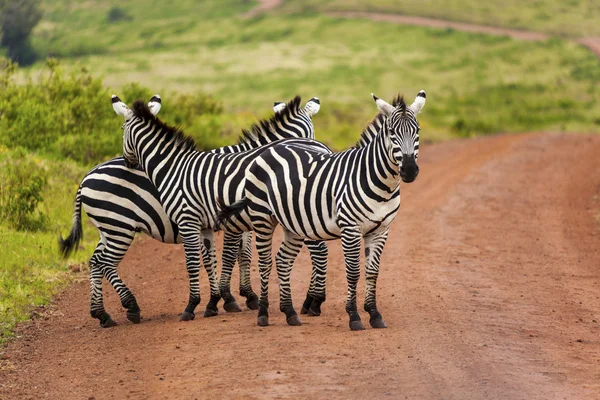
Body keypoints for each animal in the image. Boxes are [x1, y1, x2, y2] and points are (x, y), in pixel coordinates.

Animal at [59, 95, 328, 326]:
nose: (318, 160)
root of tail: (85, 178)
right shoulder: (231, 220)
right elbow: (230, 255)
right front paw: (230, 298)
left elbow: (239, 255)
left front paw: (237, 296)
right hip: (118, 226)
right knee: (104, 262)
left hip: (109, 228)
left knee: (96, 262)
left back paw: (102, 314)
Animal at [216, 90, 426, 332]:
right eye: (392, 133)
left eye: (417, 131)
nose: (409, 171)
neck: (379, 182)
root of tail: (274, 146)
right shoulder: (350, 228)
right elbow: (353, 272)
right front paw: (354, 316)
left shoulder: (381, 230)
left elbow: (372, 272)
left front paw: (374, 314)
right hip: (262, 218)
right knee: (265, 262)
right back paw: (262, 313)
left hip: (293, 222)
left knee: (283, 260)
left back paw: (290, 313)